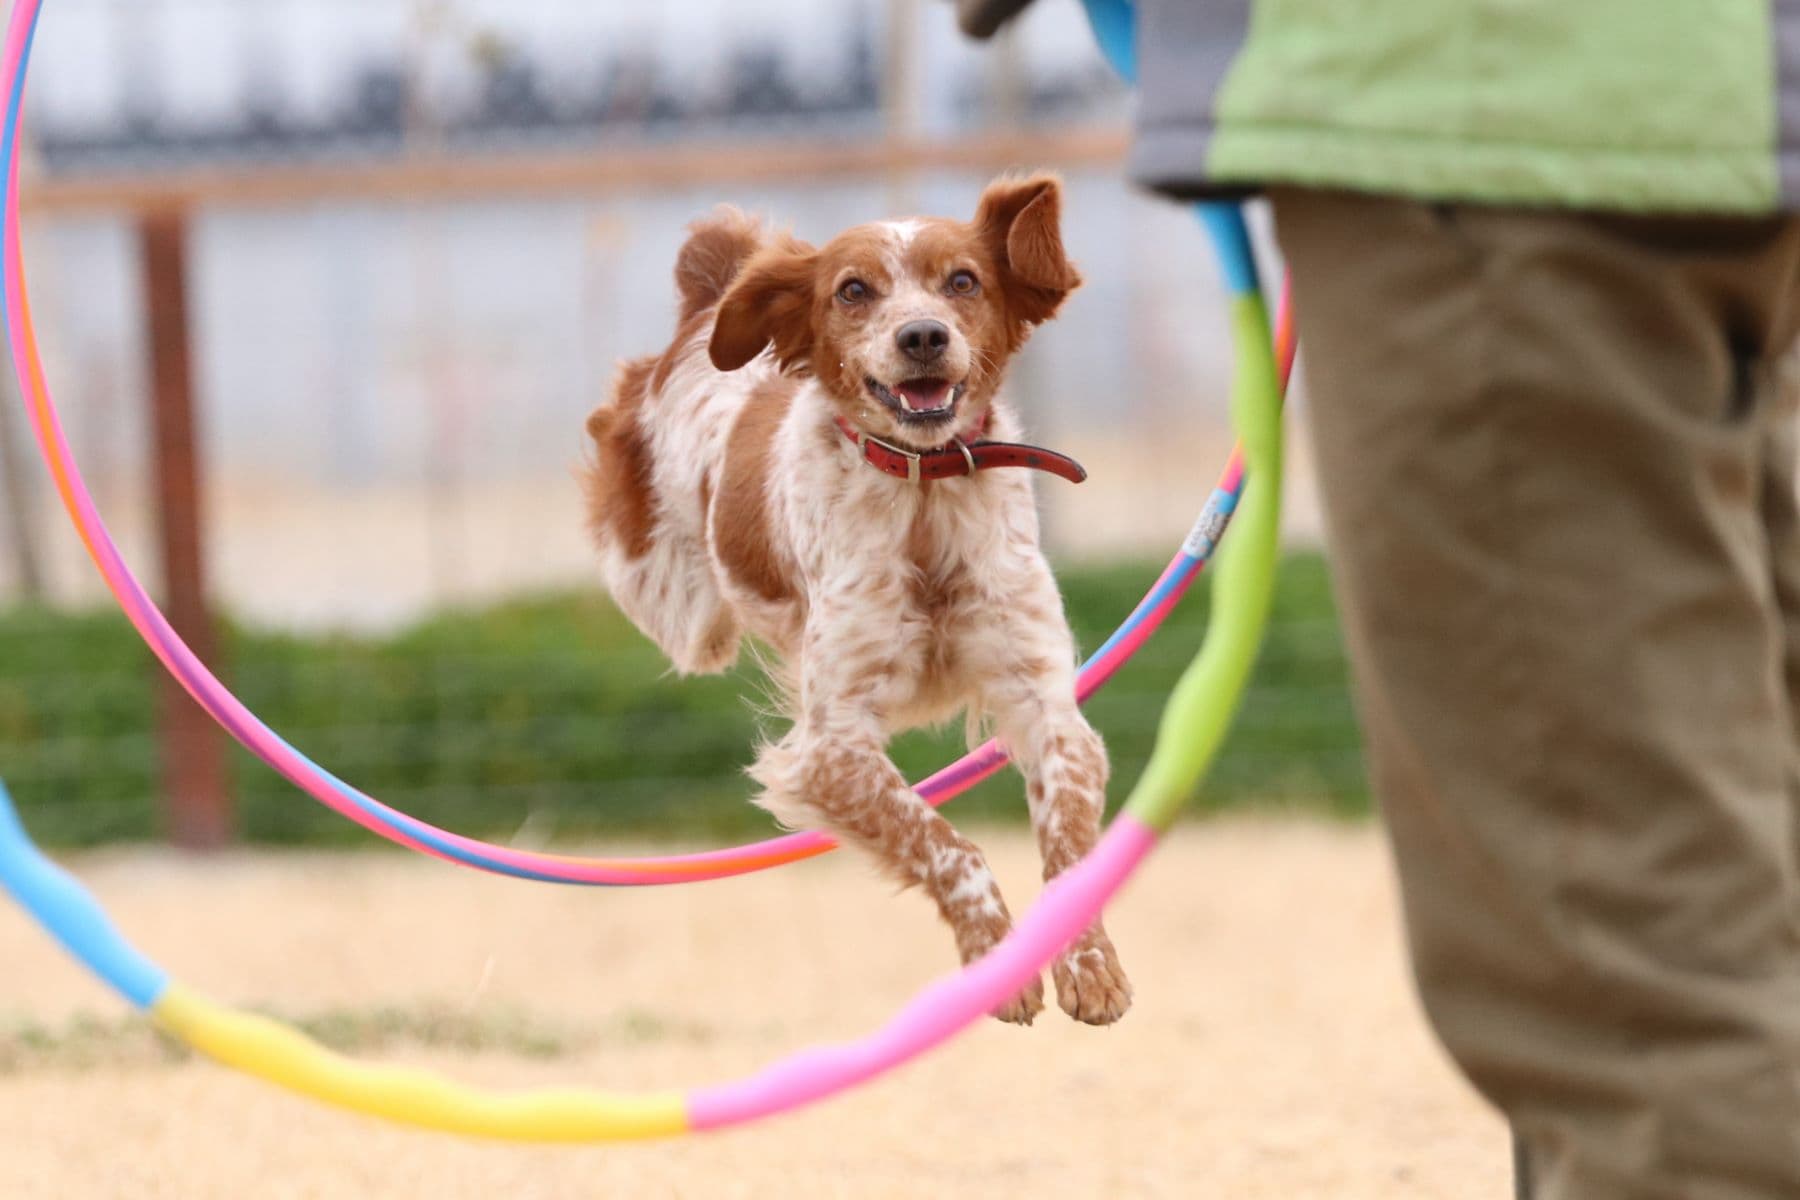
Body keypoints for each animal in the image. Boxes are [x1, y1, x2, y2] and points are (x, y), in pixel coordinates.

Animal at [583, 173, 1130, 1029]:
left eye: (963, 281)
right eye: (852, 290)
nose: (922, 337)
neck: (924, 496)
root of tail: (705, 308)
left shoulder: (1045, 704)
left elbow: (1070, 843)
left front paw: (1091, 966)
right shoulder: (831, 746)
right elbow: (947, 844)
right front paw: (998, 964)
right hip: (680, 610)